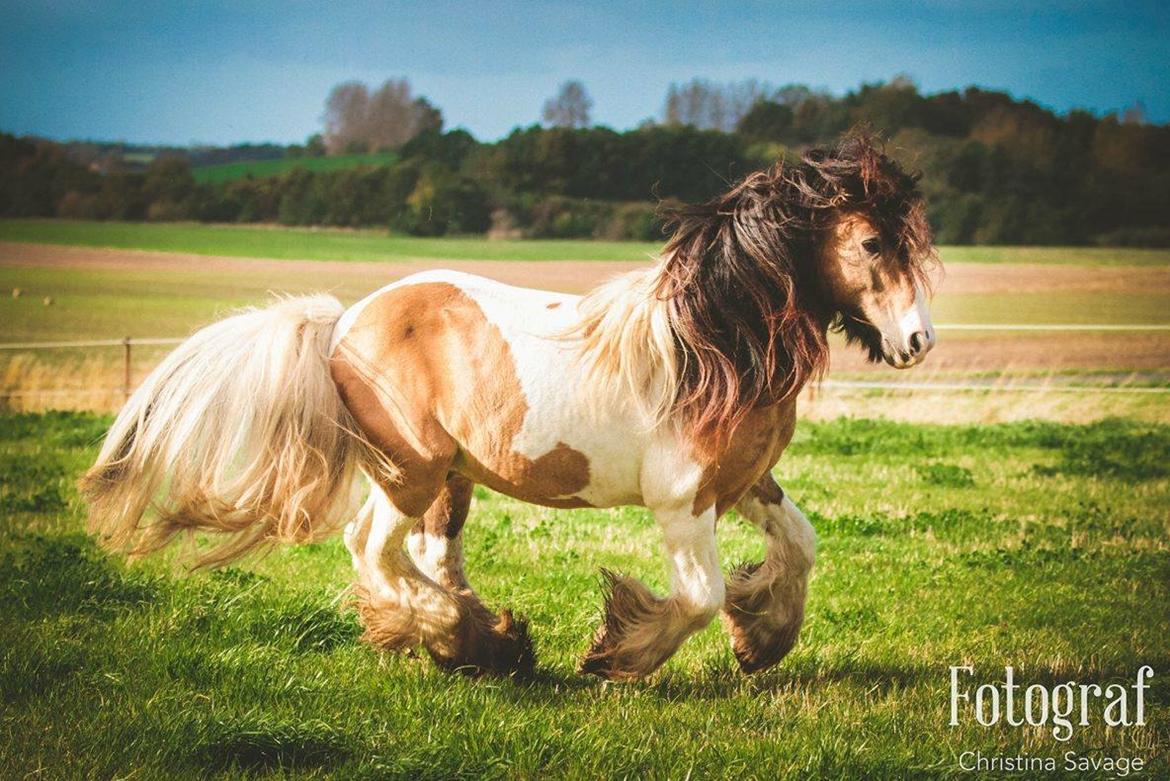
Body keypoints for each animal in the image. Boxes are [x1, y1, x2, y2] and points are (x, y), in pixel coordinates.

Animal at [80, 132, 940, 678]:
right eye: (872, 244)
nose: (919, 339)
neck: (710, 347)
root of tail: (344, 322)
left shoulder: (744, 481)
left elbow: (800, 544)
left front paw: (761, 639)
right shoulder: (683, 500)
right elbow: (700, 596)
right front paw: (618, 653)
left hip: (450, 478)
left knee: (428, 556)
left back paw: (478, 644)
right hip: (410, 470)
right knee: (372, 547)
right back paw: (462, 638)